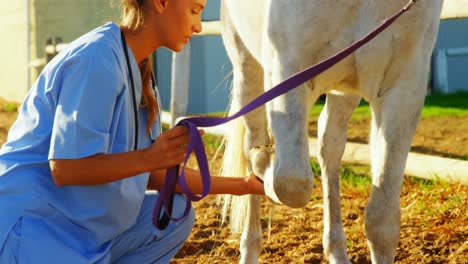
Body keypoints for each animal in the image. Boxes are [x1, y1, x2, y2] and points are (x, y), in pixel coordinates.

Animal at [219, 1, 442, 262]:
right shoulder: (286, 71)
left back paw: (336, 252)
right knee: (253, 143)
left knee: (329, 148)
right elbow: (291, 183)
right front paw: (265, 169)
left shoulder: (404, 89)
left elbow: (382, 222)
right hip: (247, 68)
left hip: (344, 91)